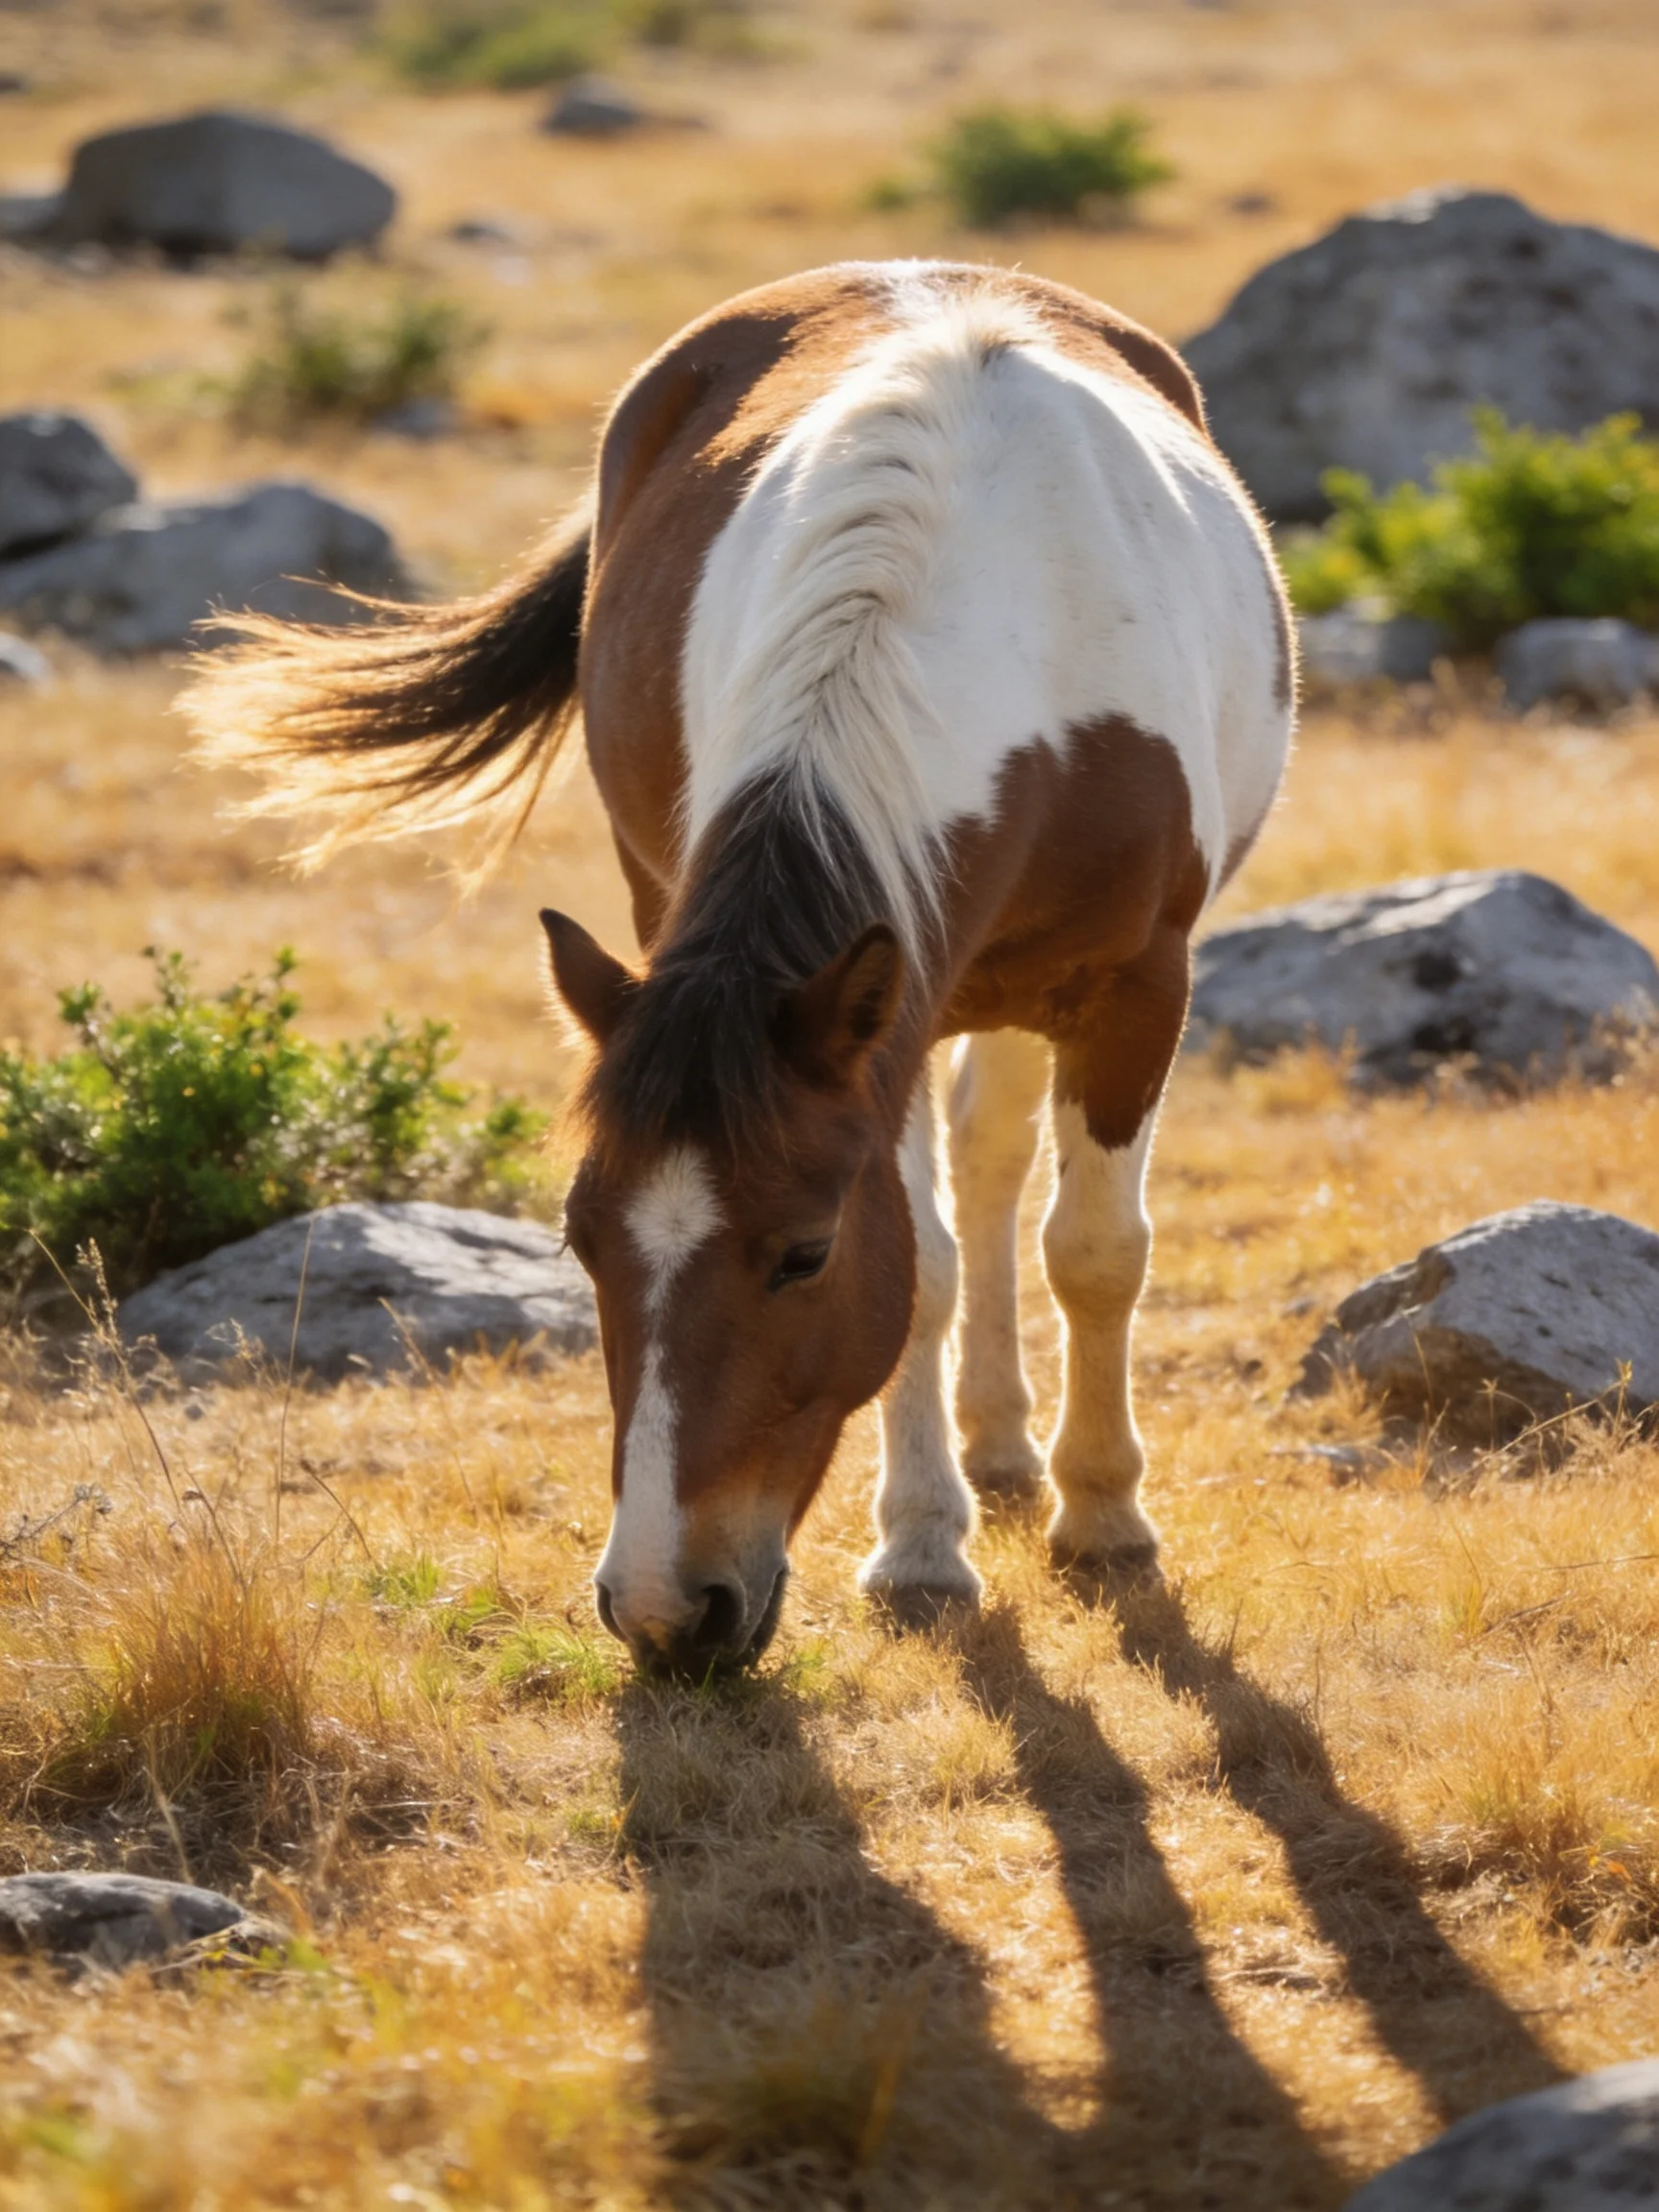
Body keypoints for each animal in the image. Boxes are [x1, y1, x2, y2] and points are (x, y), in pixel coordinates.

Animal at [187, 261, 1293, 1675]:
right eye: (581, 1243)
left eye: (804, 1257)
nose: (668, 1611)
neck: (1004, 616)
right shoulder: (884, 1013)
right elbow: (926, 1269)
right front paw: (924, 1546)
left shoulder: (1136, 990)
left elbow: (1094, 1250)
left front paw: (1104, 1520)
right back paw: (988, 1449)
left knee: (1003, 1168)